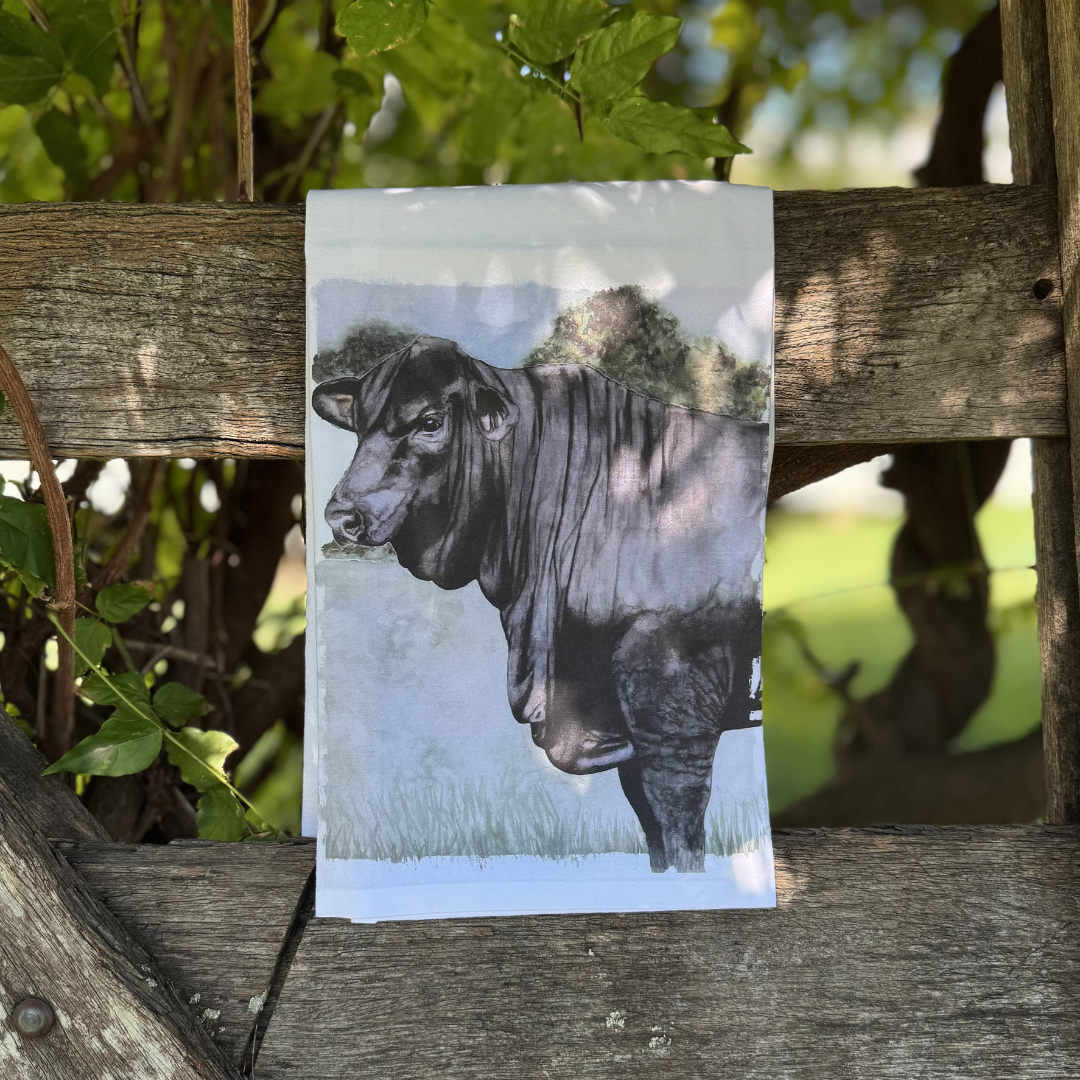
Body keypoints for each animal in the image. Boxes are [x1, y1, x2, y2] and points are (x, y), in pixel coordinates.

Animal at [313, 334, 769, 873]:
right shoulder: (622, 724)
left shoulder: (675, 716)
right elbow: (655, 836)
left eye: (429, 421)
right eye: (359, 426)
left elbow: (679, 832)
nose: (342, 516)